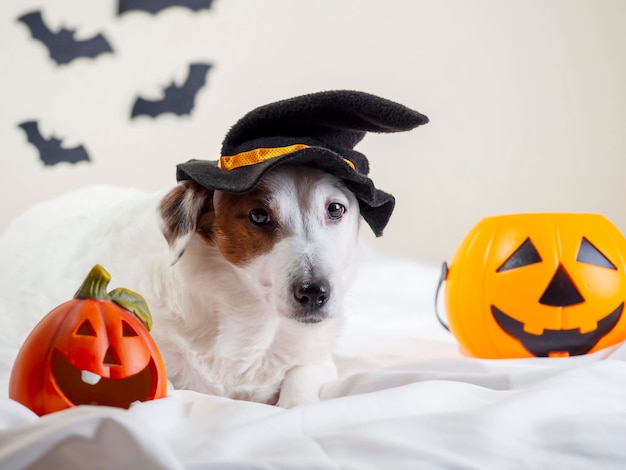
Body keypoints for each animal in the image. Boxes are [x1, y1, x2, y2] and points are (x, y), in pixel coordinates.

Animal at [0, 91, 426, 408]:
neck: (251, 321)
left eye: (336, 209)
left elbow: (300, 386)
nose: (315, 293)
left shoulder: (318, 362)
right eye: (258, 216)